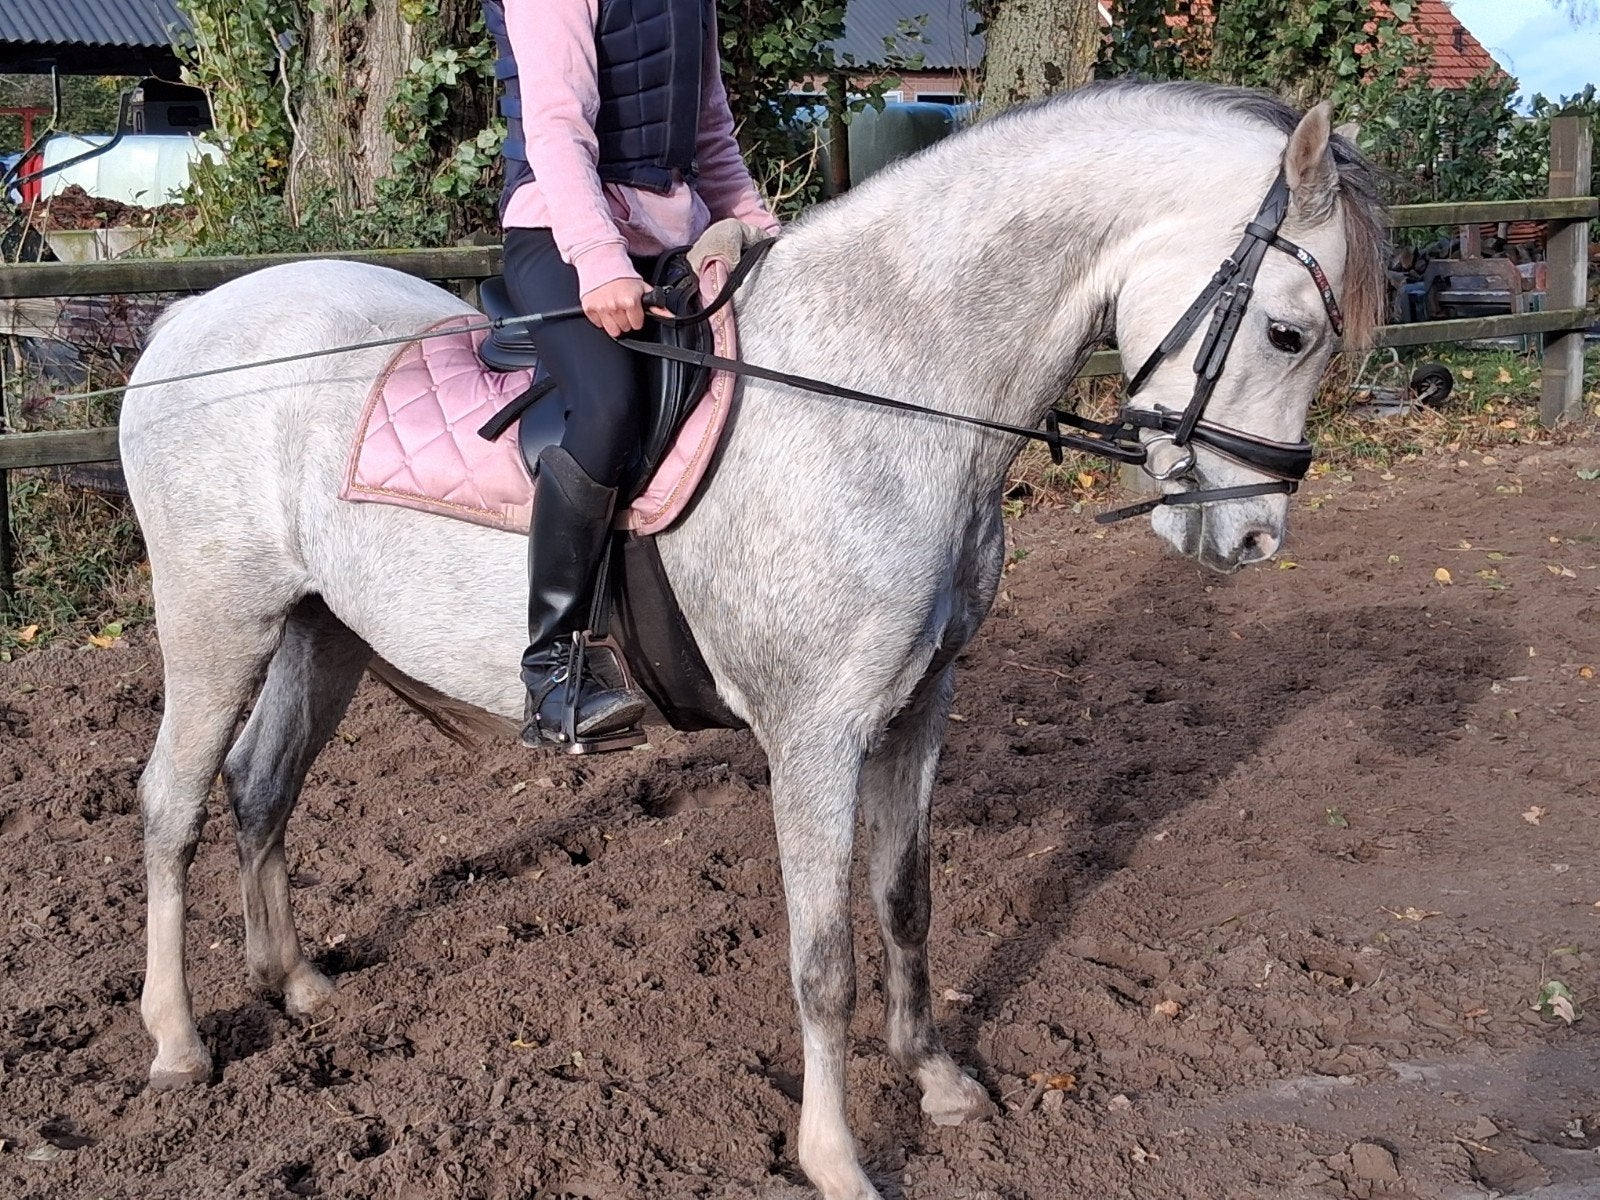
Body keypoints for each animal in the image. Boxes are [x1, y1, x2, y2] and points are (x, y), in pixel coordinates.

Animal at [121, 81, 1382, 1200]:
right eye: (1286, 332)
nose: (1253, 537)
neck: (875, 390)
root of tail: (191, 319)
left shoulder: (921, 703)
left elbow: (904, 900)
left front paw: (939, 1082)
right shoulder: (815, 735)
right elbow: (822, 961)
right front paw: (836, 1160)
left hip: (319, 629)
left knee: (262, 786)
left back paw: (295, 985)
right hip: (214, 621)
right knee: (173, 808)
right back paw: (178, 1044)